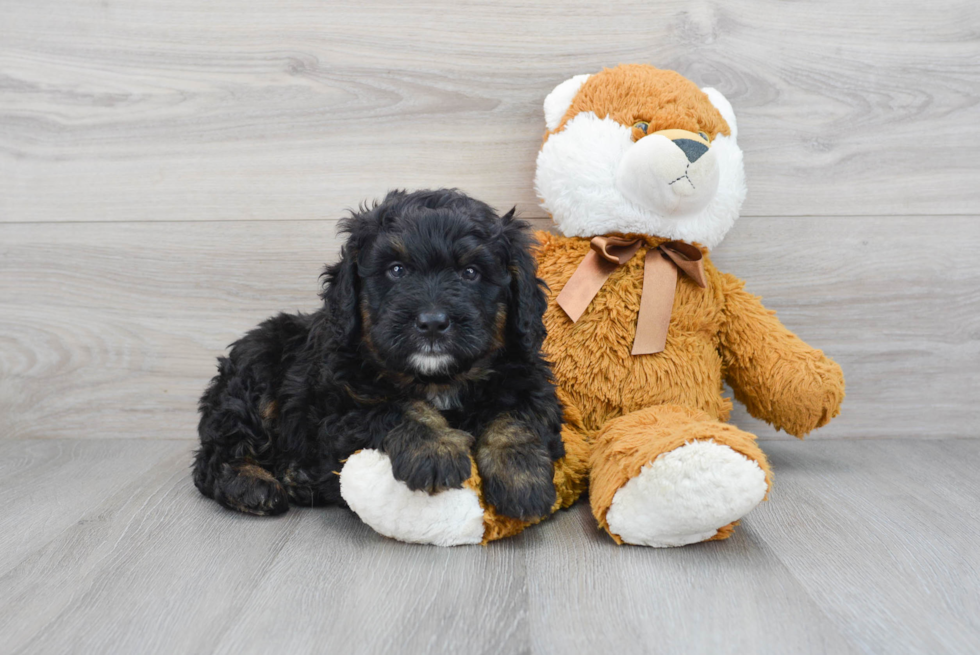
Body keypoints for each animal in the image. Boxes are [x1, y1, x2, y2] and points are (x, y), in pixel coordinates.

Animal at [191, 188, 564, 524]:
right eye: (396, 270)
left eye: (470, 273)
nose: (432, 322)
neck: (439, 379)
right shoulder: (343, 405)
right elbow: (397, 407)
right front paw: (435, 450)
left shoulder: (529, 384)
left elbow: (515, 418)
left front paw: (522, 478)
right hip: (255, 373)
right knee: (213, 458)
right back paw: (252, 486)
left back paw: (298, 478)